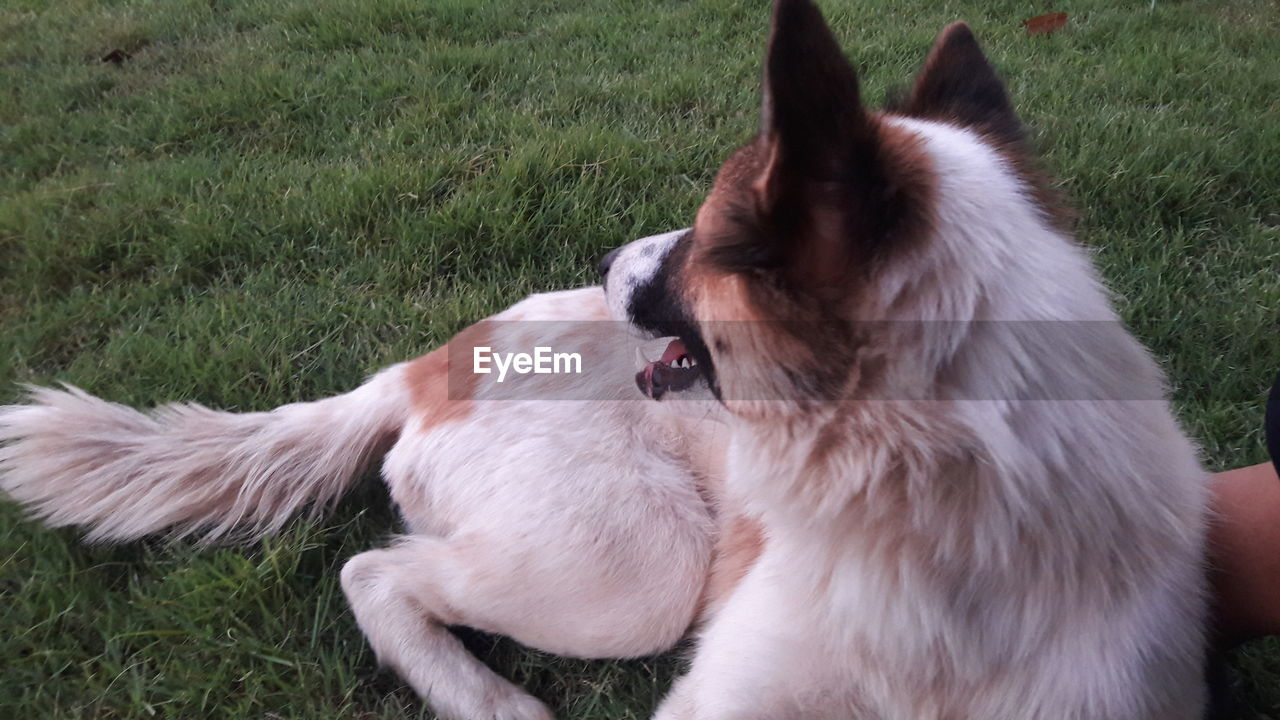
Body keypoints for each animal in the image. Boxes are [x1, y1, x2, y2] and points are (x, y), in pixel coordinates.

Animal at [2, 1, 1208, 717]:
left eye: (703, 238)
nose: (602, 257)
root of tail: (430, 361)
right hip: (635, 568)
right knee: (373, 572)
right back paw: (493, 702)